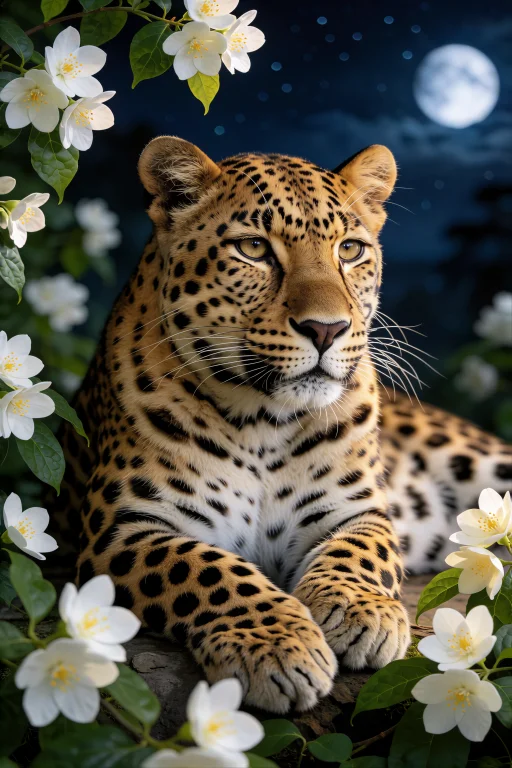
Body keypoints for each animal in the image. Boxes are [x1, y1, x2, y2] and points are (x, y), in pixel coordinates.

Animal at [54, 136, 512, 714]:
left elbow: (359, 552)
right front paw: (275, 644)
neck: (262, 420)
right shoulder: (124, 528)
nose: (327, 329)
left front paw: (360, 611)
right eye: (253, 248)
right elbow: (208, 569)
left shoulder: (356, 509)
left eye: (350, 250)